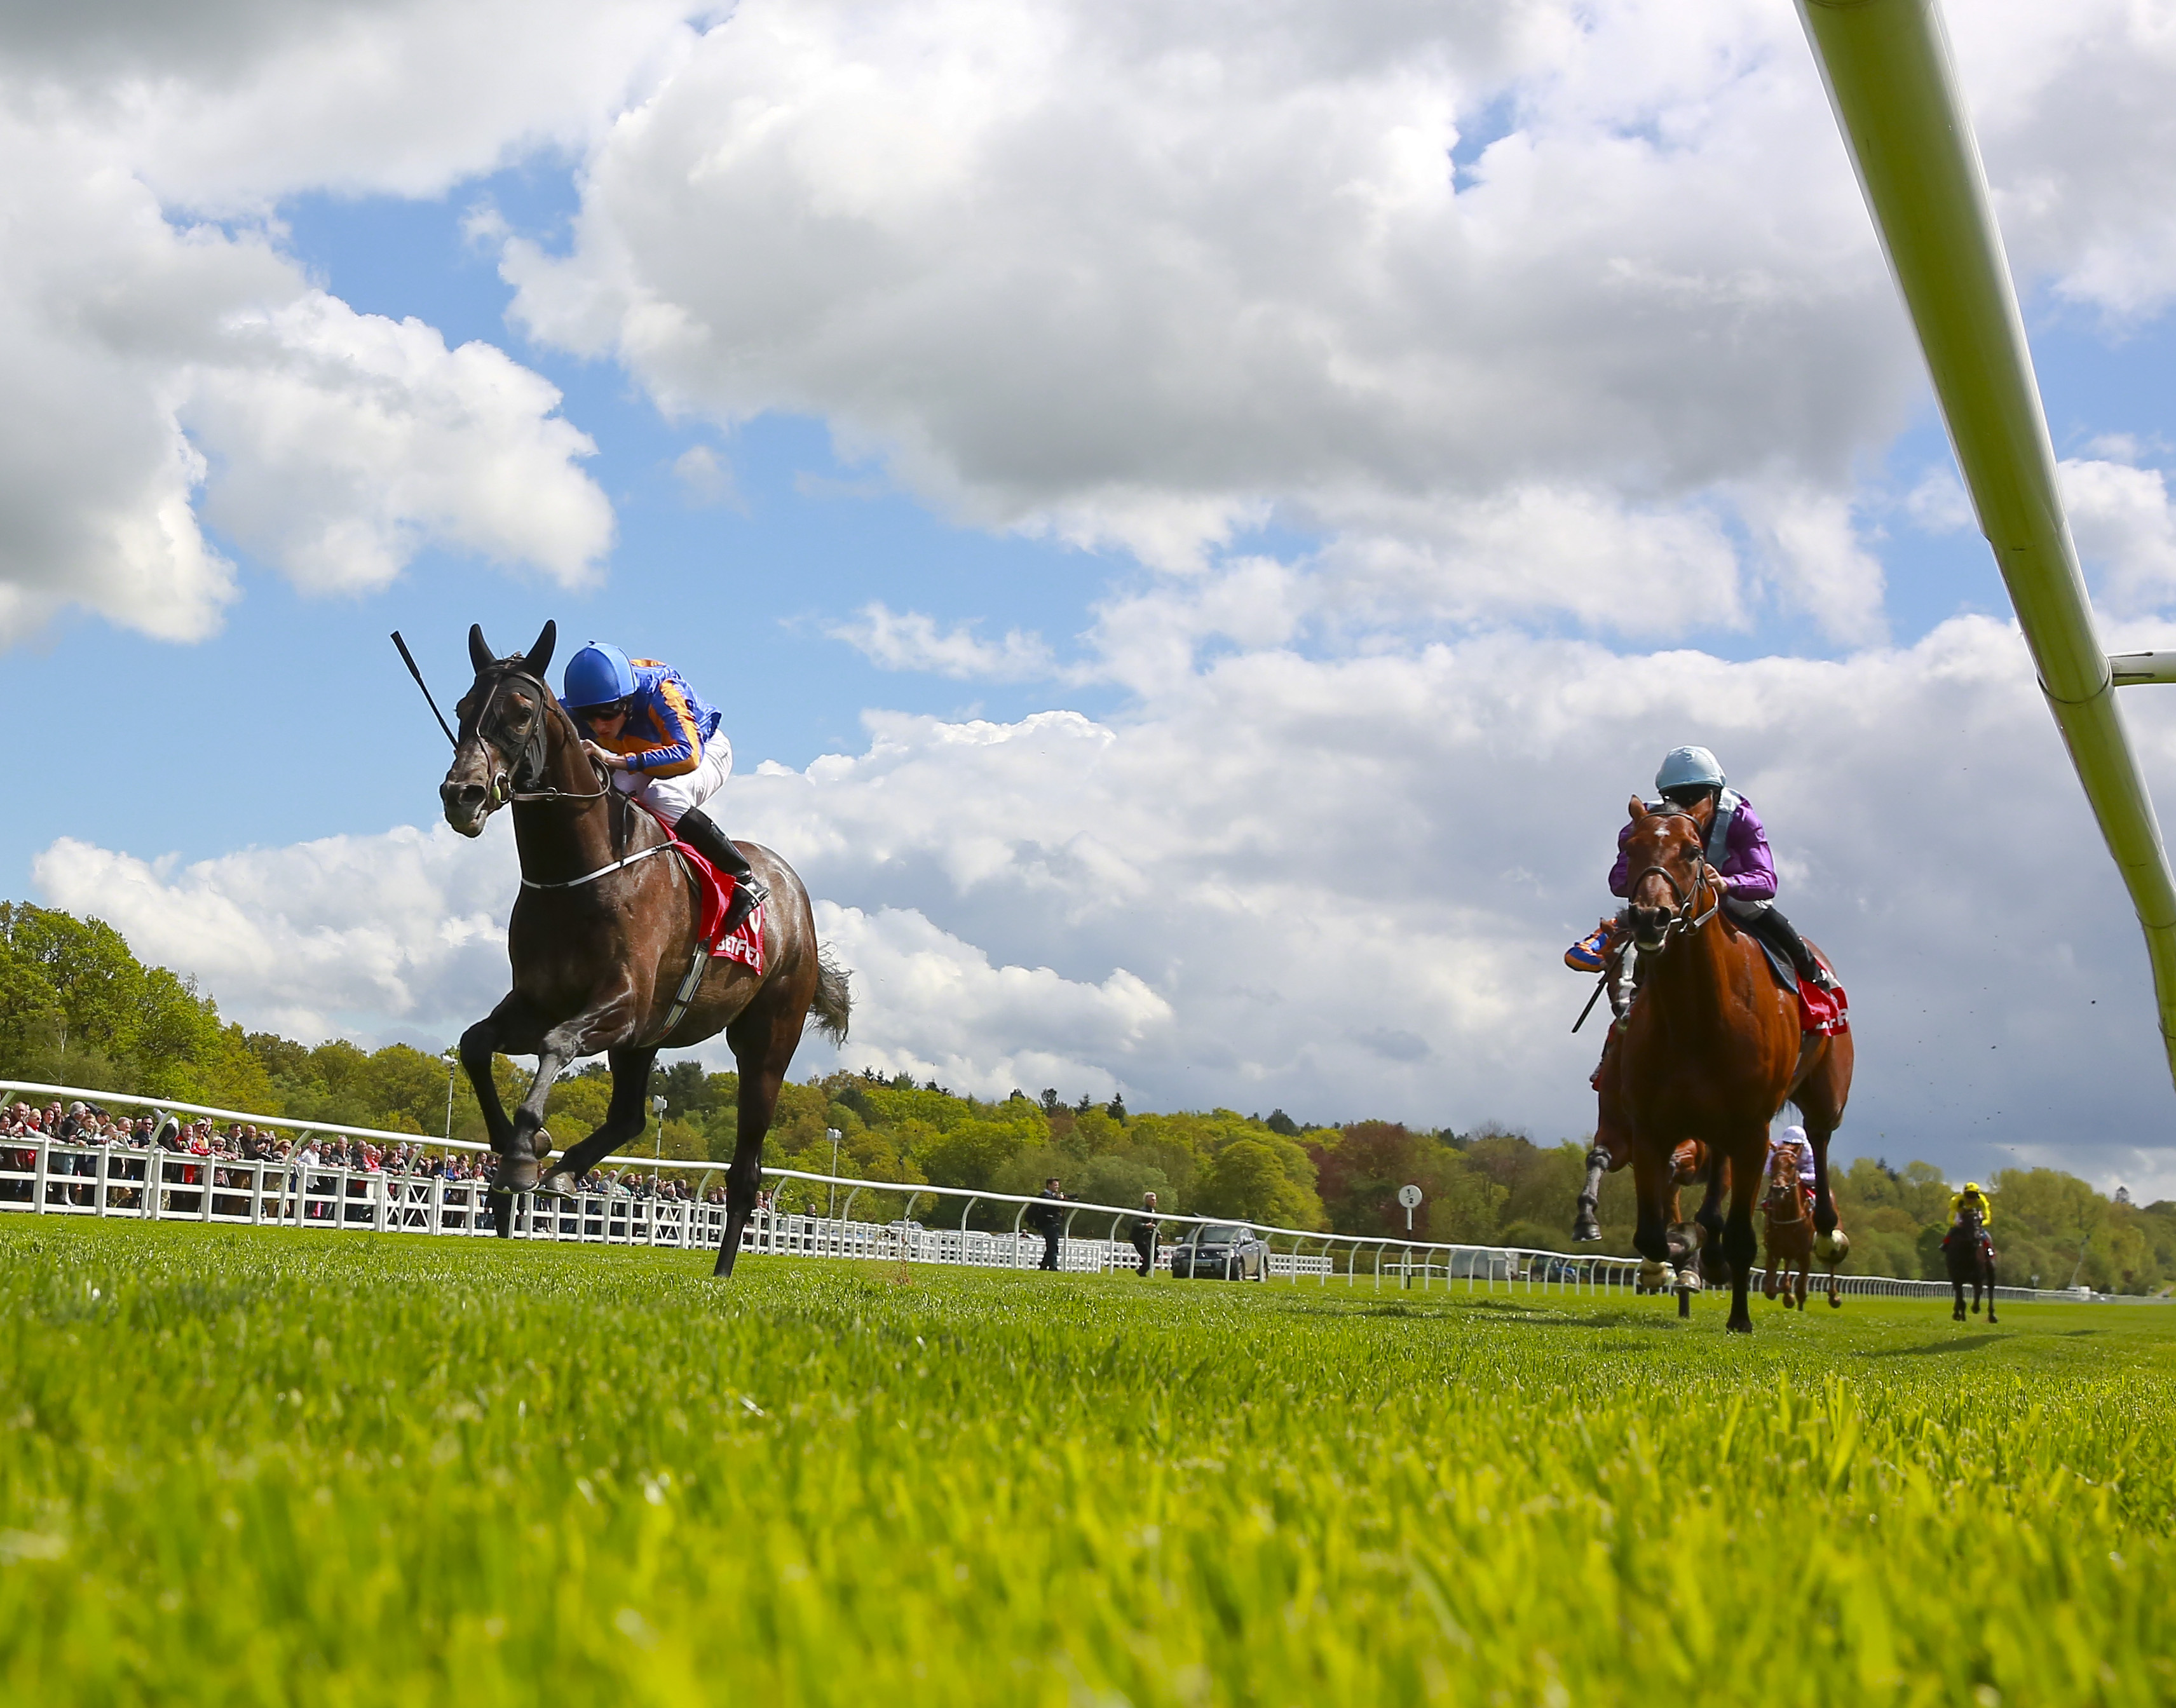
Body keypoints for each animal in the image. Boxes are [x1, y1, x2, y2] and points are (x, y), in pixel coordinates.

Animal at [435, 618, 848, 1270]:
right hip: (648, 1039)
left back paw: (722, 1271)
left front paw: (527, 1149)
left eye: (521, 712)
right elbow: (476, 1045)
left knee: (746, 1171)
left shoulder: (622, 1003)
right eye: (462, 707)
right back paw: (568, 1171)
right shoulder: (540, 1001)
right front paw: (517, 1151)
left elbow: (557, 1044)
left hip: (766, 1044)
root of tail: (793, 894)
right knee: (629, 1116)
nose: (463, 795)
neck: (580, 872)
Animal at [1619, 796, 1854, 1331]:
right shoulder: (1648, 1126)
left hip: (1825, 1093)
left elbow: (1745, 1239)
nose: (1649, 918)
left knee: (1821, 1138)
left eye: (1692, 851)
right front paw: (1676, 1259)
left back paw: (1827, 1232)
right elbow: (1652, 1234)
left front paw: (1739, 1317)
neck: (1696, 1017)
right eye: (1628, 846)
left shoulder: (1753, 1131)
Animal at [1949, 1192, 1993, 1322]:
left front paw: (1975, 1307)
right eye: (1967, 1221)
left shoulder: (1978, 1275)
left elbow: (1979, 1291)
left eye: (1980, 1221)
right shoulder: (1956, 1276)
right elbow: (1960, 1298)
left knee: (1991, 1290)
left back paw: (1992, 1316)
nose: (1977, 1237)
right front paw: (1960, 1315)